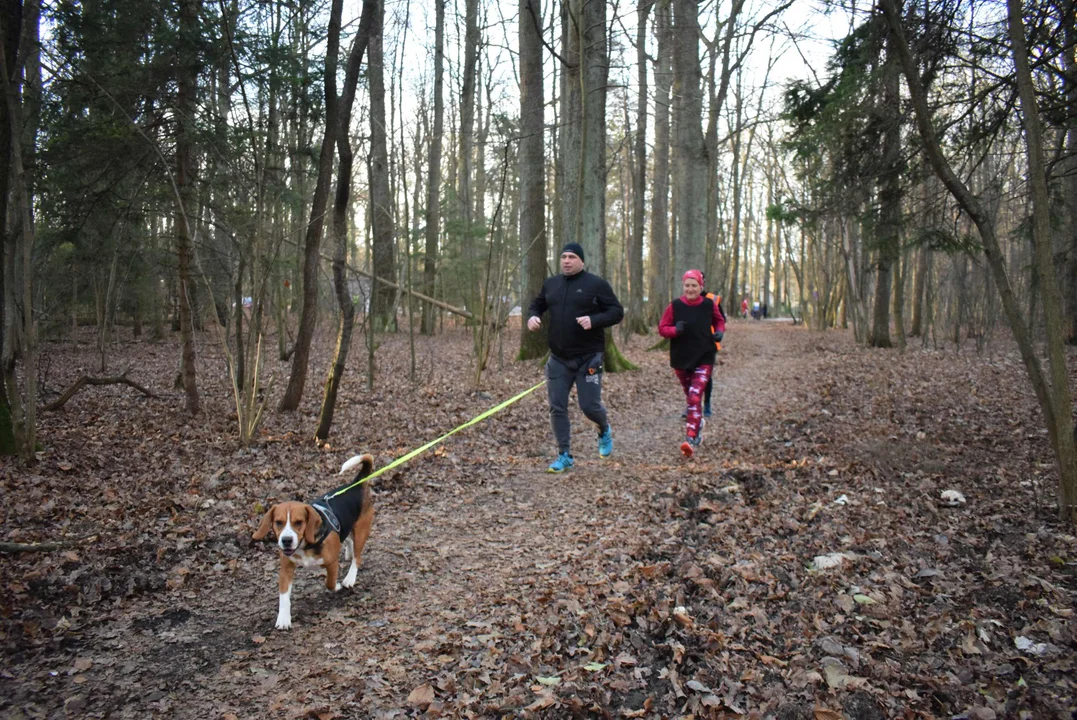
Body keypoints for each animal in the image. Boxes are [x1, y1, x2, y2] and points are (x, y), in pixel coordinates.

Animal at [250, 454, 376, 628]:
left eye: (299, 522)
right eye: (278, 522)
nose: (286, 540)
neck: (304, 546)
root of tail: (355, 485)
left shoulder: (332, 562)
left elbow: (330, 583)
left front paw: (337, 585)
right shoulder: (286, 568)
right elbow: (283, 596)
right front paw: (283, 619)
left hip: (362, 531)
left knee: (357, 558)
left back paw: (349, 578)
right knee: (349, 540)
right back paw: (348, 554)